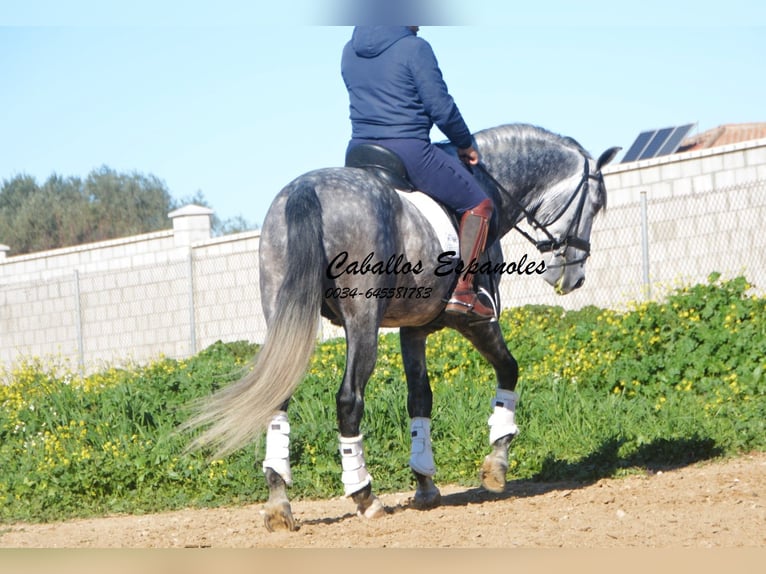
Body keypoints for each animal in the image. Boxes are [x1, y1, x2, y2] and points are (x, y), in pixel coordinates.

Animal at [186, 124, 624, 532]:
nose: (575, 276)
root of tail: (305, 190)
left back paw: (279, 503)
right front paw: (496, 463)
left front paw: (425, 482)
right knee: (349, 399)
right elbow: (508, 370)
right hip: (362, 318)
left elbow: (420, 399)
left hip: (286, 314)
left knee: (280, 396)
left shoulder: (413, 330)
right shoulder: (477, 321)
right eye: (595, 204)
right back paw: (364, 496)